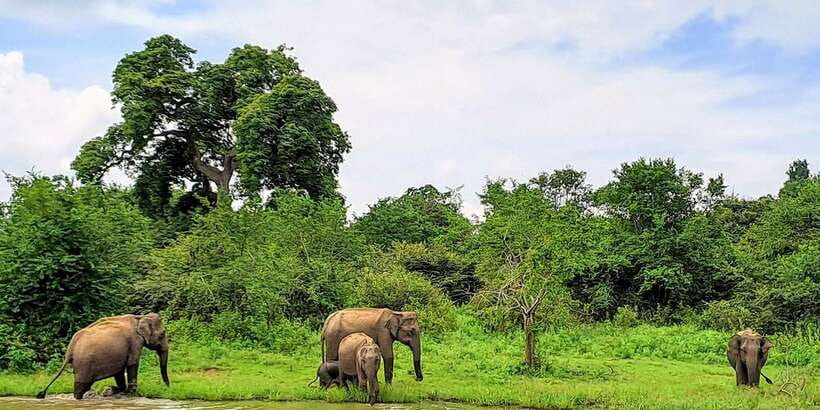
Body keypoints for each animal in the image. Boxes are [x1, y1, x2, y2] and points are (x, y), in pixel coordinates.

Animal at [36, 313, 170, 399]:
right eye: (162, 334)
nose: (167, 388)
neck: (140, 317)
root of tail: (70, 349)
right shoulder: (135, 342)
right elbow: (132, 363)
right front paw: (131, 394)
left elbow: (119, 371)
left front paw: (118, 391)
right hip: (84, 364)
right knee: (81, 386)